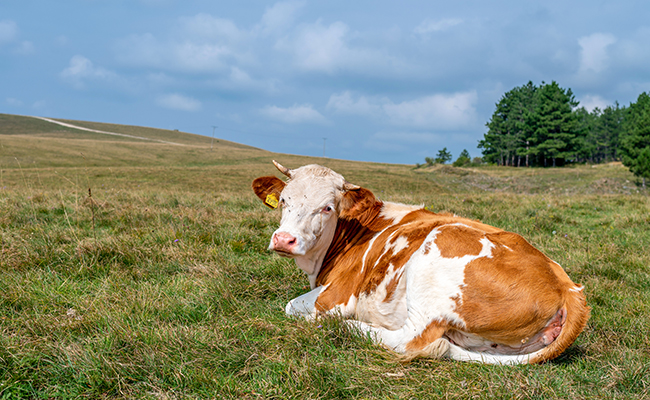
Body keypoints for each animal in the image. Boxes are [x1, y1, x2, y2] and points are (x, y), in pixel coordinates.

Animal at [252, 161, 588, 364]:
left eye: (327, 207)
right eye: (284, 200)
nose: (284, 239)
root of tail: (567, 286)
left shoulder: (337, 294)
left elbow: (293, 307)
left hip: (435, 263)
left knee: (414, 341)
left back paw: (349, 327)